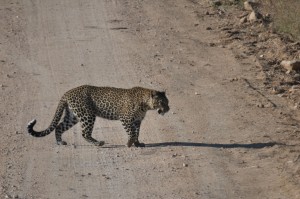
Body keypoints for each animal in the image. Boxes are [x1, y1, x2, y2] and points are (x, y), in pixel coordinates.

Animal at [26, 84, 169, 147]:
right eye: (162, 102)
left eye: (167, 102)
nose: (168, 109)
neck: (146, 104)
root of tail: (67, 93)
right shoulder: (126, 119)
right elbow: (132, 132)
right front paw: (129, 143)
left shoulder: (137, 121)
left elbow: (137, 132)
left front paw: (137, 143)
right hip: (88, 115)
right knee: (85, 133)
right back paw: (98, 143)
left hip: (73, 116)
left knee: (59, 126)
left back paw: (60, 142)